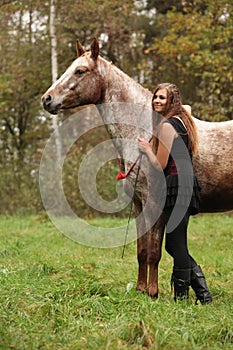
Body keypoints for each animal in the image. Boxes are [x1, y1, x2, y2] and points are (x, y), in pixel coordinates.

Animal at [41, 37, 233, 298]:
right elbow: (142, 251)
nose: (47, 99)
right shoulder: (139, 203)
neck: (143, 130)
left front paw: (153, 293)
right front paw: (141, 290)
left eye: (80, 71)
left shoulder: (157, 205)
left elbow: (154, 252)